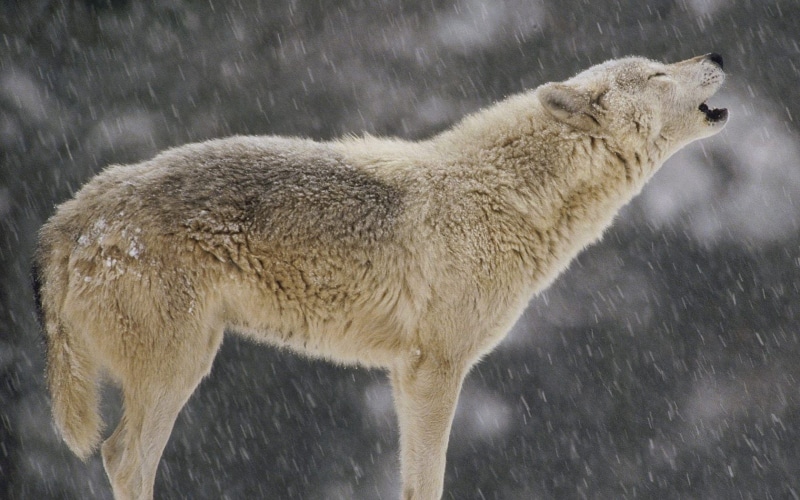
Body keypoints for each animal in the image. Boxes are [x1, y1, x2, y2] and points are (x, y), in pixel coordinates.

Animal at [33, 53, 727, 499]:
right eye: (658, 71)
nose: (717, 52)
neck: (505, 196)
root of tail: (73, 216)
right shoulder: (436, 369)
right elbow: (429, 482)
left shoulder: (405, 373)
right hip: (178, 367)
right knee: (124, 459)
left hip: (187, 362)